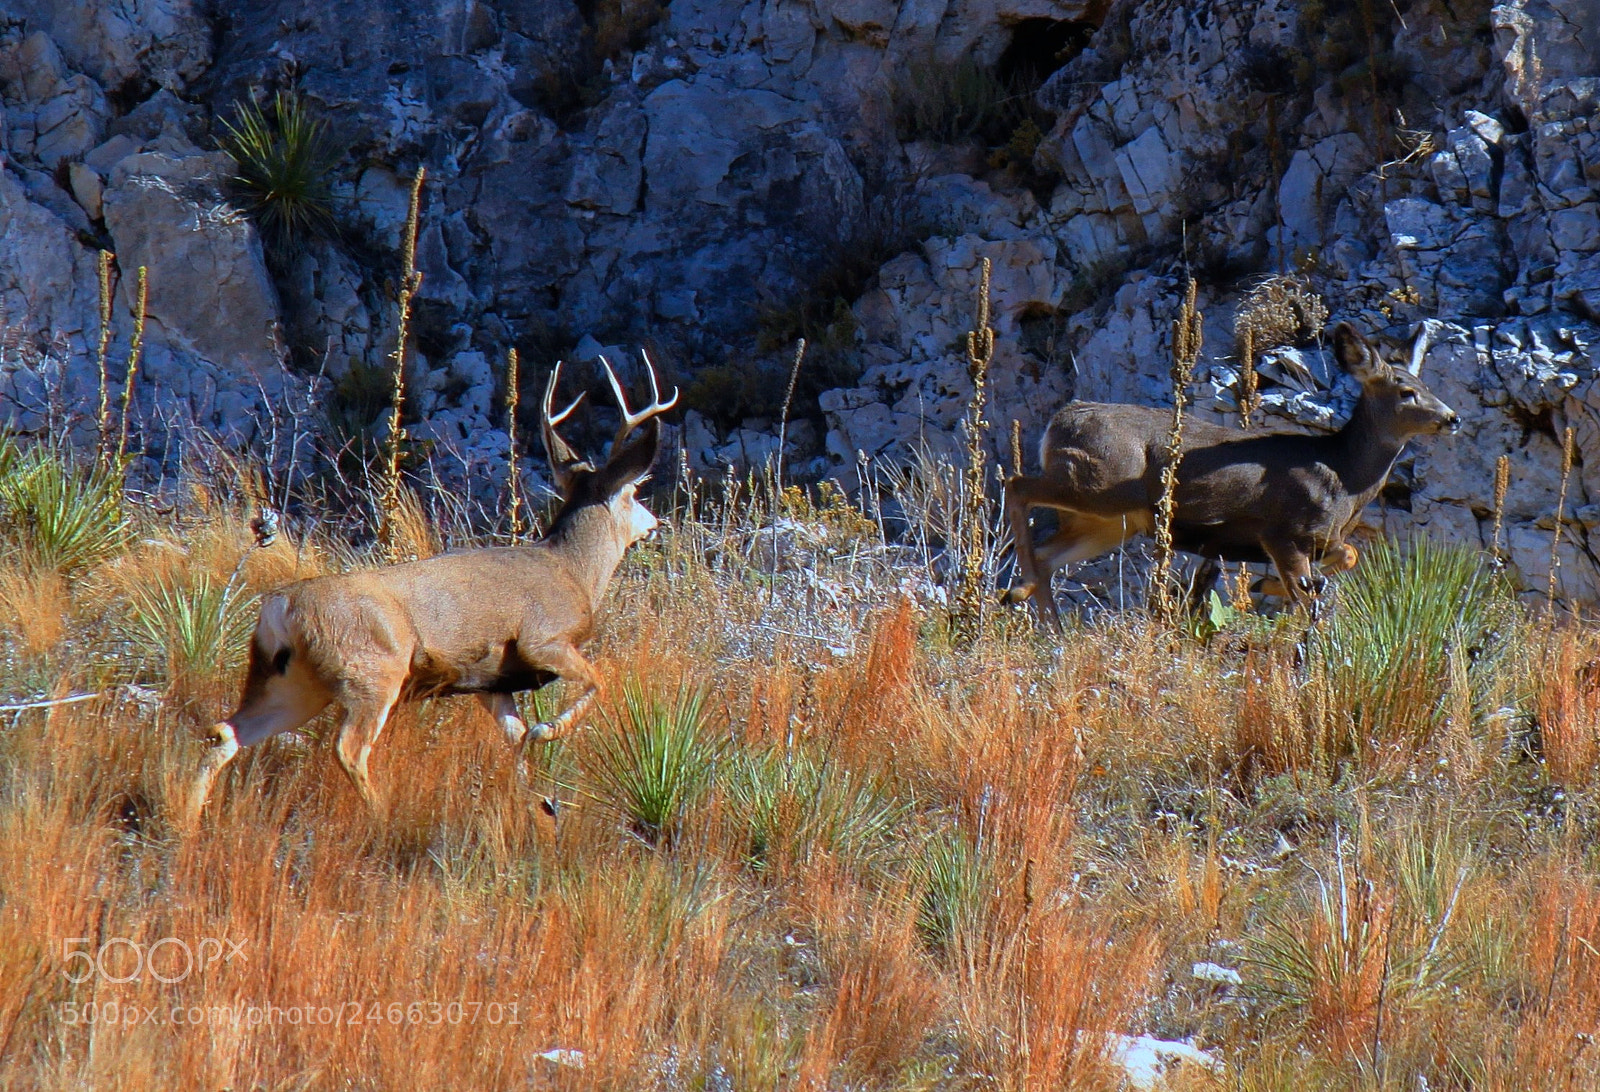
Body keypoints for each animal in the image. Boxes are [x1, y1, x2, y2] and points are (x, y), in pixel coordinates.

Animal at [184, 353, 678, 826]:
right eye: (636, 492)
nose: (654, 522)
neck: (573, 571)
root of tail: (281, 608)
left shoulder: (490, 680)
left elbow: (516, 739)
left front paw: (536, 806)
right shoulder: (543, 639)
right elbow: (598, 682)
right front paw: (547, 734)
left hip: (292, 681)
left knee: (227, 732)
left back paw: (186, 821)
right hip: (373, 672)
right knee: (348, 748)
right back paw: (383, 819)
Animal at [999, 321, 1460, 628]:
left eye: (1430, 386)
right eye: (1407, 392)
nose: (1452, 418)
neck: (1344, 476)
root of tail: (1060, 420)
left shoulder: (1321, 540)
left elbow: (1348, 555)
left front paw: (1264, 587)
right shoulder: (1283, 531)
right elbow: (1306, 591)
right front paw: (1274, 596)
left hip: (1112, 521)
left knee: (1048, 553)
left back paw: (1042, 614)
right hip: (1101, 485)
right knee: (1016, 486)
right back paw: (1020, 591)